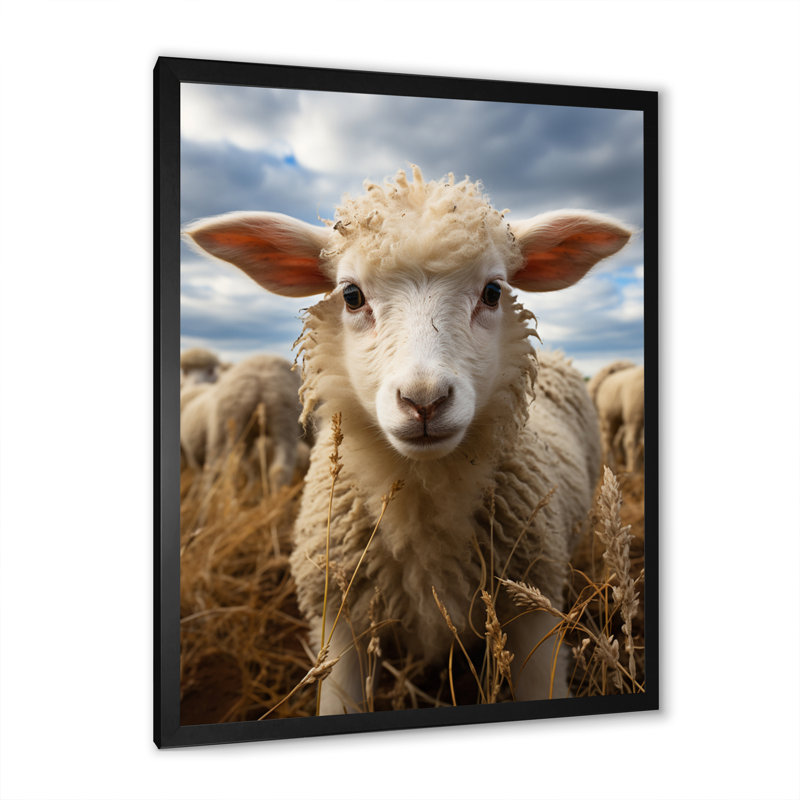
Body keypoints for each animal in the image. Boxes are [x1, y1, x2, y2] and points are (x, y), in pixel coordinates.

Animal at [180, 353, 308, 492]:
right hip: (281, 422)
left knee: (222, 469)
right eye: (184, 371)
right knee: (277, 469)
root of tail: (260, 378)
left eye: (210, 370)